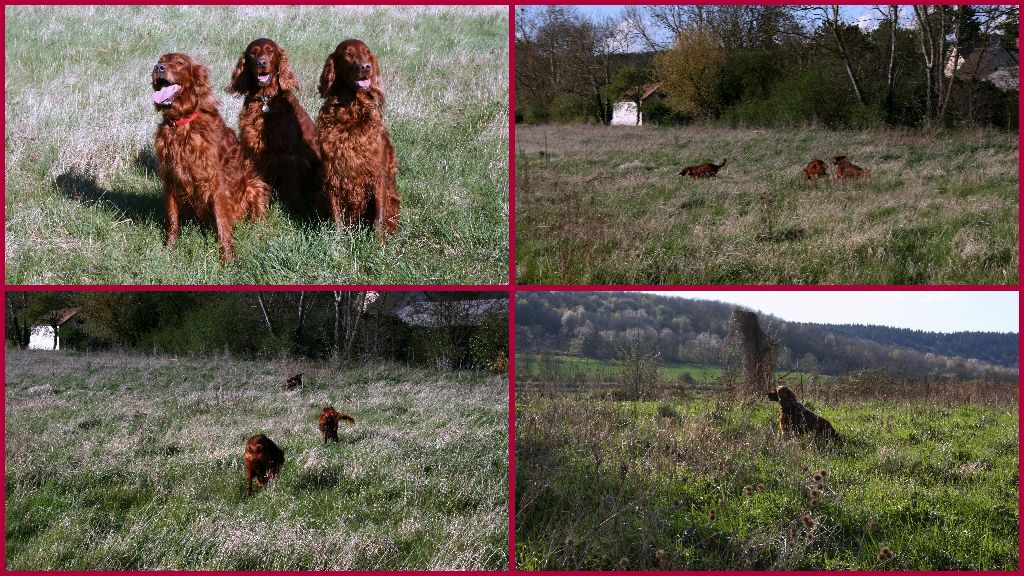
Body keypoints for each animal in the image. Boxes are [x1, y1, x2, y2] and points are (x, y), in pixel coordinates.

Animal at [151, 51, 270, 262]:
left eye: (179, 63)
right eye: (160, 61)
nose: (158, 68)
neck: (181, 124)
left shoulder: (215, 182)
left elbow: (222, 222)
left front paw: (227, 258)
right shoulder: (171, 179)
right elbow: (172, 220)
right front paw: (169, 249)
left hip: (253, 183)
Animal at [230, 38, 321, 213]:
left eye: (270, 51)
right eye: (253, 53)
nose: (261, 62)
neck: (265, 100)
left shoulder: (290, 155)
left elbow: (291, 186)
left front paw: (291, 208)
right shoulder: (251, 149)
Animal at [315, 39, 399, 234]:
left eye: (367, 52)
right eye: (347, 53)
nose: (366, 66)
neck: (351, 111)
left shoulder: (378, 174)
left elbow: (378, 218)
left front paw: (378, 241)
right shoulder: (332, 174)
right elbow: (336, 218)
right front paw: (337, 241)